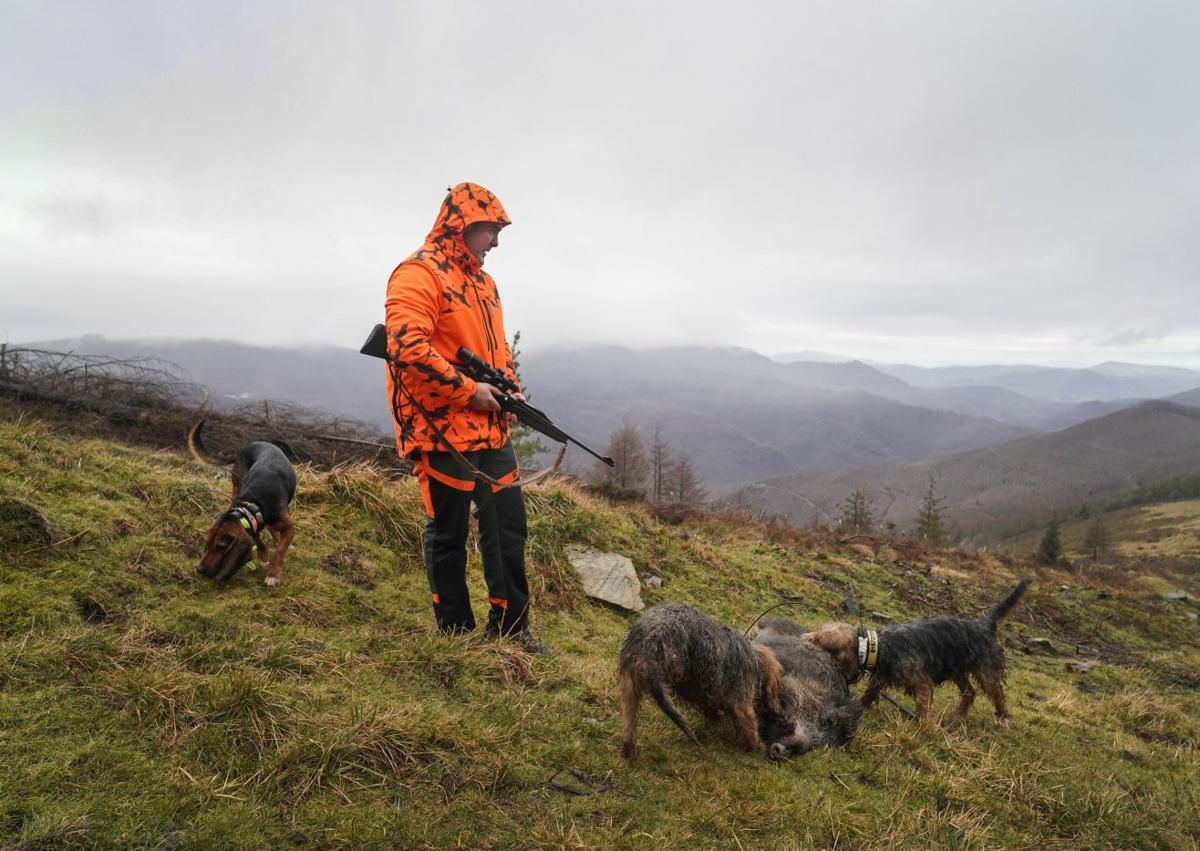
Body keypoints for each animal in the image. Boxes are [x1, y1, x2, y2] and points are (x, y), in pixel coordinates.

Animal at [619, 597, 787, 758]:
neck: (755, 659)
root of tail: (651, 637)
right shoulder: (742, 705)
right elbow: (750, 727)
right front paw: (757, 746)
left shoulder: (708, 694)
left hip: (629, 685)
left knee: (629, 719)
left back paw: (628, 749)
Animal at [806, 573, 1032, 720]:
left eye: (820, 639)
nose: (805, 637)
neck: (877, 648)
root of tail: (984, 624)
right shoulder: (880, 678)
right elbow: (869, 694)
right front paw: (859, 706)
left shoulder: (922, 682)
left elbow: (923, 706)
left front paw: (922, 726)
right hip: (957, 671)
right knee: (969, 692)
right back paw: (957, 715)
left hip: (986, 672)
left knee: (997, 694)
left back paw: (1004, 716)